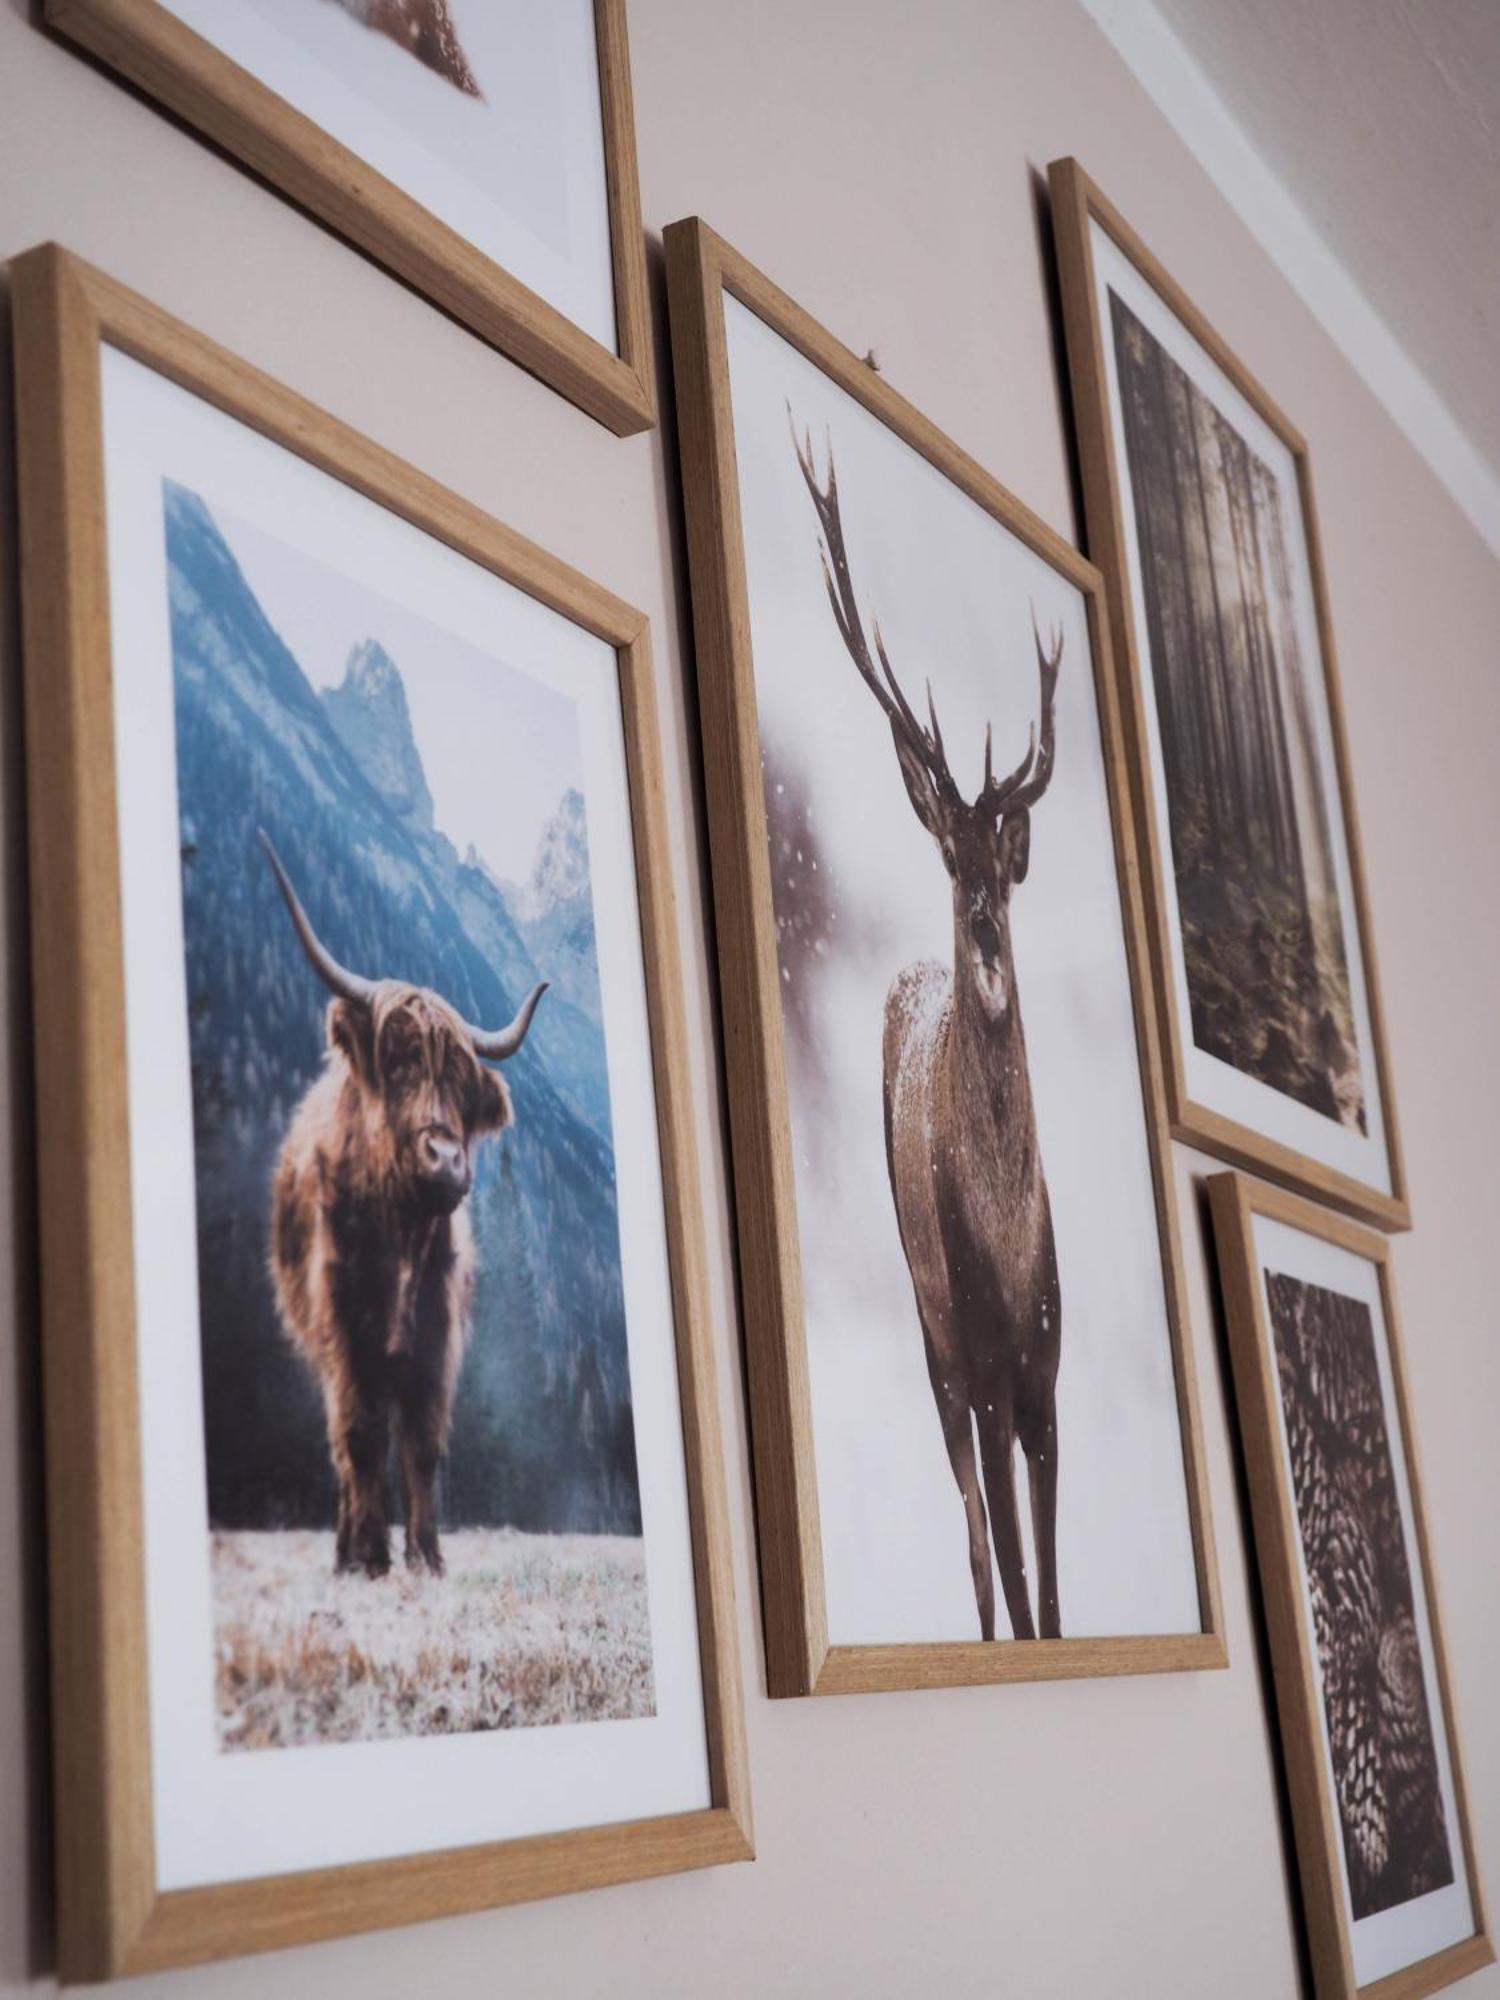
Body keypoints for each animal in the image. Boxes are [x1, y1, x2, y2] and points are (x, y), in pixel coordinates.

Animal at [262, 828, 548, 1576]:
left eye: (462, 1085)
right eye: (395, 1063)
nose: (445, 1158)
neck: (399, 1237)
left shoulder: (436, 1335)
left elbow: (423, 1441)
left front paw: (427, 1557)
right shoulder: (342, 1324)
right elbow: (360, 1434)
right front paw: (369, 1554)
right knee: (343, 1443)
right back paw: (345, 1551)